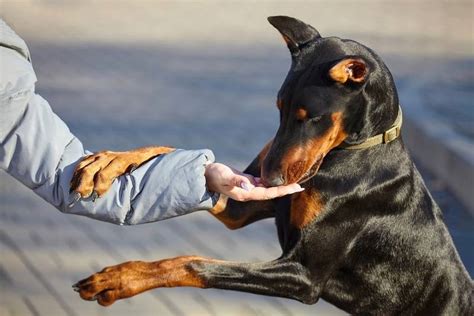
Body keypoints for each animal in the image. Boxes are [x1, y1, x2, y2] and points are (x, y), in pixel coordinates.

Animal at [72, 17, 472, 316]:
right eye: (280, 108)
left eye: (312, 117)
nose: (271, 179)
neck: (353, 152)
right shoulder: (239, 203)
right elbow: (173, 151)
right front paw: (110, 162)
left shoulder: (303, 276)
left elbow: (194, 262)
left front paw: (120, 279)